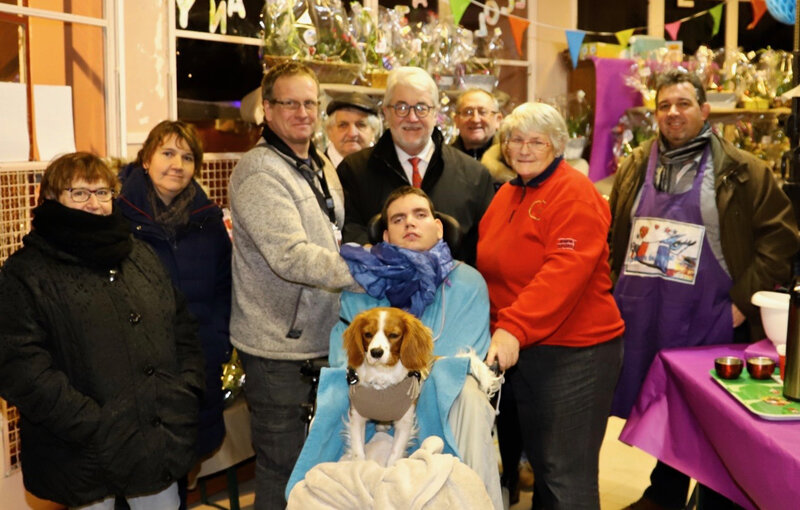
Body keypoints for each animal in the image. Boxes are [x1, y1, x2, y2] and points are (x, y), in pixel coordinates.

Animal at [342, 306, 434, 466]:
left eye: (393, 335)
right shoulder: (356, 417)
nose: (376, 352)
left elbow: (395, 454)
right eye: (368, 334)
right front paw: (359, 467)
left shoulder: (405, 422)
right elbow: (358, 452)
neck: (381, 375)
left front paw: (390, 470)